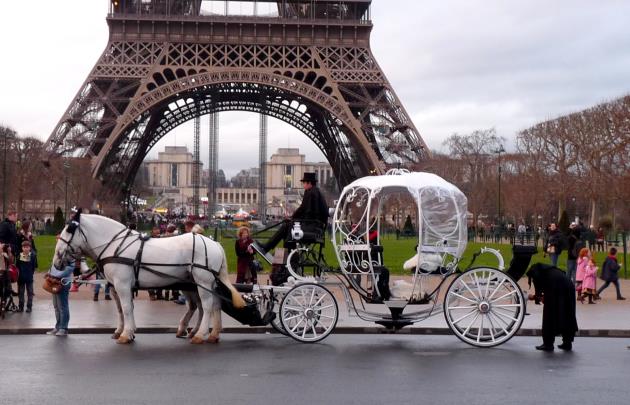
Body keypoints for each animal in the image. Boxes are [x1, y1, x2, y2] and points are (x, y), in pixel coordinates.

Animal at [53, 210, 246, 342]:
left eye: (69, 230)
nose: (57, 260)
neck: (115, 245)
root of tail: (214, 242)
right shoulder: (115, 287)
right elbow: (121, 309)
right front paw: (123, 331)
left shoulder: (122, 285)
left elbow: (127, 308)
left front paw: (126, 334)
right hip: (200, 283)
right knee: (212, 305)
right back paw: (211, 333)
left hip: (203, 281)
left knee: (206, 306)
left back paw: (200, 334)